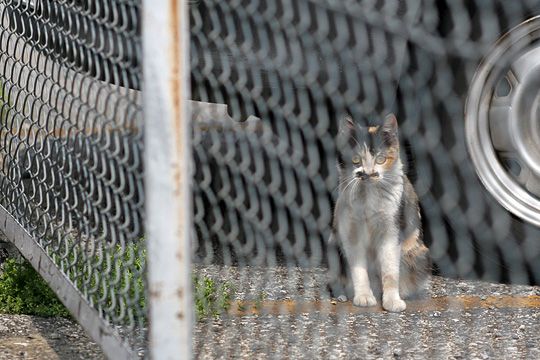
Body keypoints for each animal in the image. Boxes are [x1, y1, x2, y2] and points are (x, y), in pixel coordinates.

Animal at [330, 113, 430, 312]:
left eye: (381, 159)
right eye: (356, 159)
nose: (368, 173)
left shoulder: (391, 231)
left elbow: (390, 271)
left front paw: (392, 301)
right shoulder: (350, 232)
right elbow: (358, 270)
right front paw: (363, 296)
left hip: (419, 255)